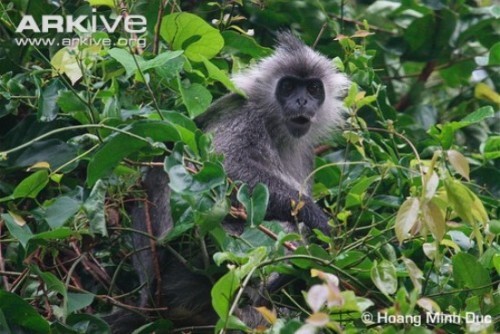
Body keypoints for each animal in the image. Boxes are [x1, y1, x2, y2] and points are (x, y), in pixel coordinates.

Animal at [104, 30, 348, 332]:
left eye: (313, 88)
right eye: (289, 87)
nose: (302, 101)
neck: (277, 129)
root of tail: (150, 298)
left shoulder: (305, 153)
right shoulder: (244, 116)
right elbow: (222, 167)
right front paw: (317, 218)